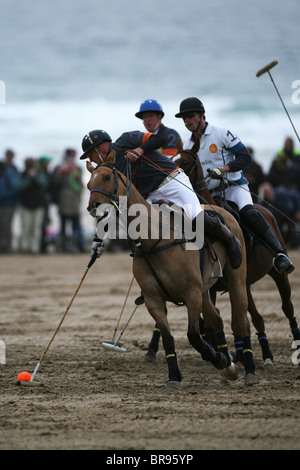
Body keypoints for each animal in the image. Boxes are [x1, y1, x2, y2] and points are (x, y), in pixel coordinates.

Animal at [85, 151, 258, 390]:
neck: (152, 240)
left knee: (241, 322)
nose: (93, 207)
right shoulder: (153, 299)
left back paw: (249, 372)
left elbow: (193, 335)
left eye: (107, 177)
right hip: (205, 291)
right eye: (88, 184)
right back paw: (230, 367)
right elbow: (168, 338)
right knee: (216, 319)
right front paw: (175, 375)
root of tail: (223, 209)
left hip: (236, 280)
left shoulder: (191, 293)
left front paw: (219, 360)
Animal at [172, 138, 298, 366]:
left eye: (185, 162)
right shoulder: (211, 286)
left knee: (287, 307)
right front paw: (224, 355)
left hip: (276, 274)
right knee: (257, 317)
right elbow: (213, 323)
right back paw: (264, 354)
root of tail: (265, 209)